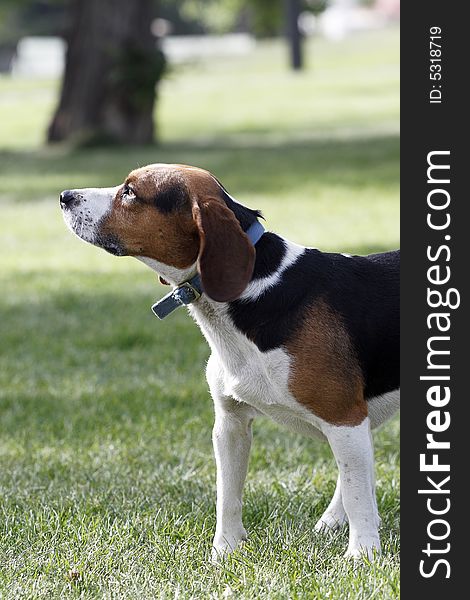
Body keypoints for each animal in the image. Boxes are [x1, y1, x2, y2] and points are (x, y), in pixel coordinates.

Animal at [60, 163, 400, 556]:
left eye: (130, 192)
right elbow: (228, 495)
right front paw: (224, 552)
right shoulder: (230, 423)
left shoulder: (344, 419)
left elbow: (358, 494)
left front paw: (363, 555)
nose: (65, 196)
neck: (258, 289)